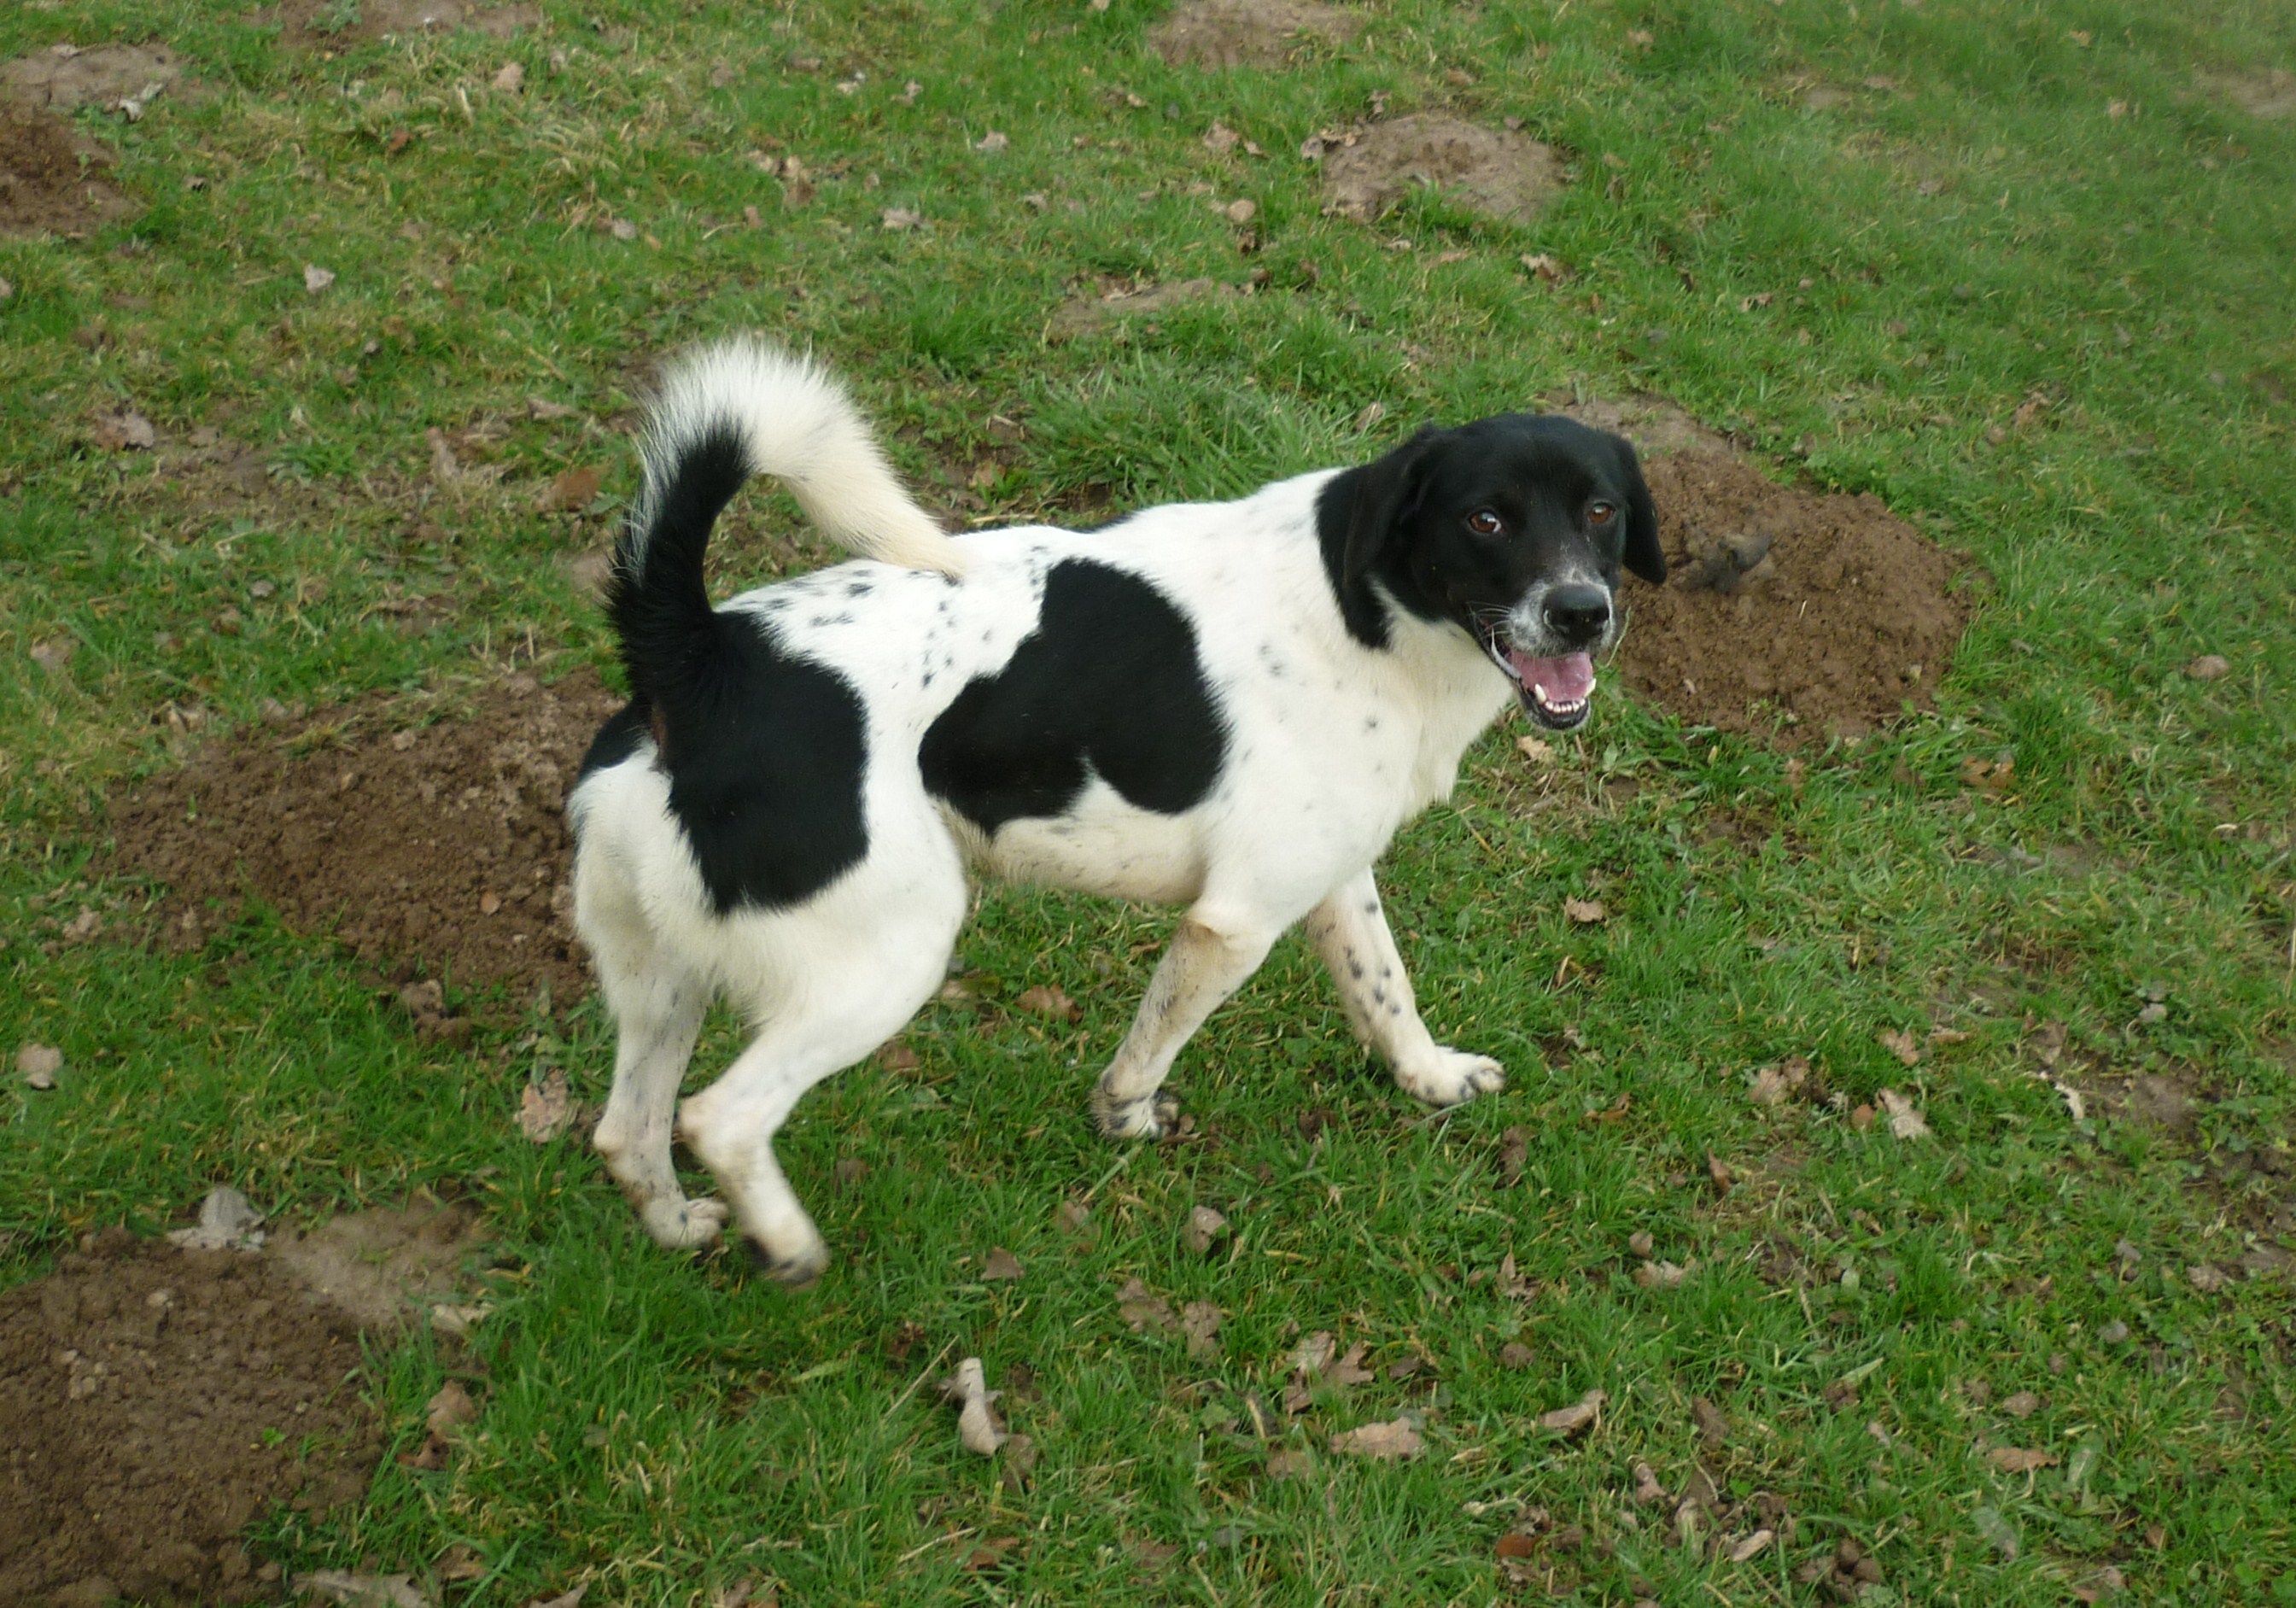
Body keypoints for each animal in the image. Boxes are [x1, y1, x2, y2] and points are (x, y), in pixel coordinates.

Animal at [564, 340, 1662, 1277]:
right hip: (887, 957)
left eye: (1601, 509)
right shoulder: (1233, 923)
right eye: (1485, 519)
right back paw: (788, 1243)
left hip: (662, 973)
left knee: (628, 1128)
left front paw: (1431, 1079)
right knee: (719, 1116)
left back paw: (676, 1225)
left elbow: (1385, 992)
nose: (1581, 613)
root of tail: (702, 660)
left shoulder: (1331, 877)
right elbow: (1151, 1042)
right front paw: (1126, 1119)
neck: (1370, 604)